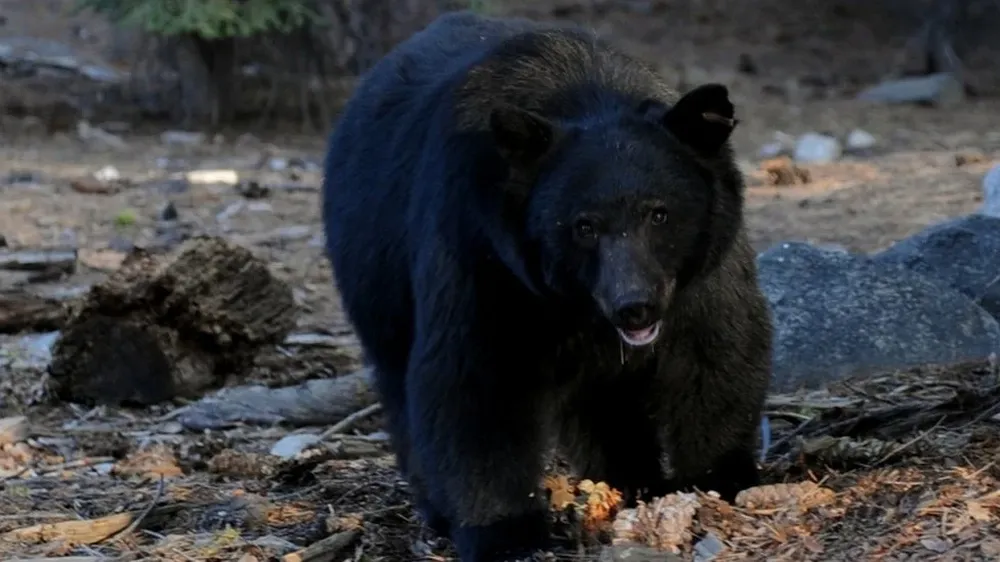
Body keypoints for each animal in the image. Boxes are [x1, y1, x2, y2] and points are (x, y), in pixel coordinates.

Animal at [321, 10, 773, 562]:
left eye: (659, 214)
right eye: (583, 226)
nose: (635, 308)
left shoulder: (702, 273)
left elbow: (716, 351)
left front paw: (718, 478)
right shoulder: (483, 253)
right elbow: (476, 380)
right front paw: (505, 531)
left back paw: (628, 478)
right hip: (376, 278)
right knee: (400, 384)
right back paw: (437, 508)